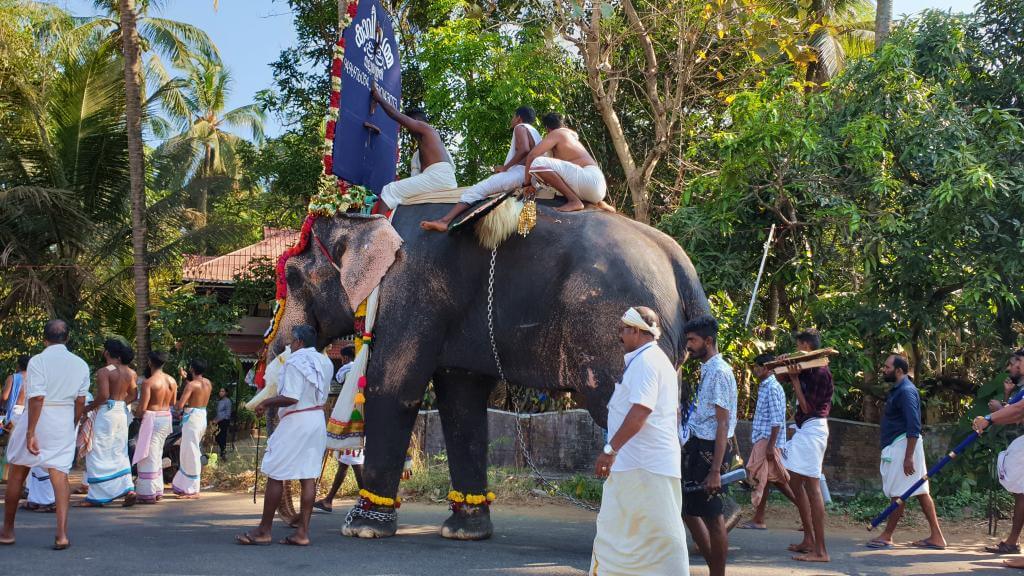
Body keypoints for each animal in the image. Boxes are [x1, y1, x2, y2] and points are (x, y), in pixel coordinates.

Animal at [268, 201, 708, 537]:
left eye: (291, 276)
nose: (289, 525)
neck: (371, 217)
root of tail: (679, 261)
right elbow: (461, 403)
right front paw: (465, 531)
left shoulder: (412, 290)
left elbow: (393, 387)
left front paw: (362, 528)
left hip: (610, 331)